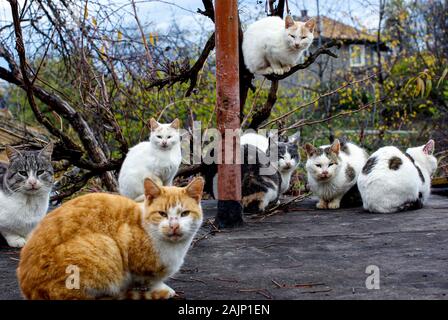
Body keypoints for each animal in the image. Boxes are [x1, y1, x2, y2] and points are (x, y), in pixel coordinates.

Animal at [17, 176, 205, 298]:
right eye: (162, 214)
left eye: (184, 213)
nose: (174, 226)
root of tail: (29, 289)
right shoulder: (131, 251)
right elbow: (150, 281)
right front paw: (162, 290)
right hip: (105, 247)